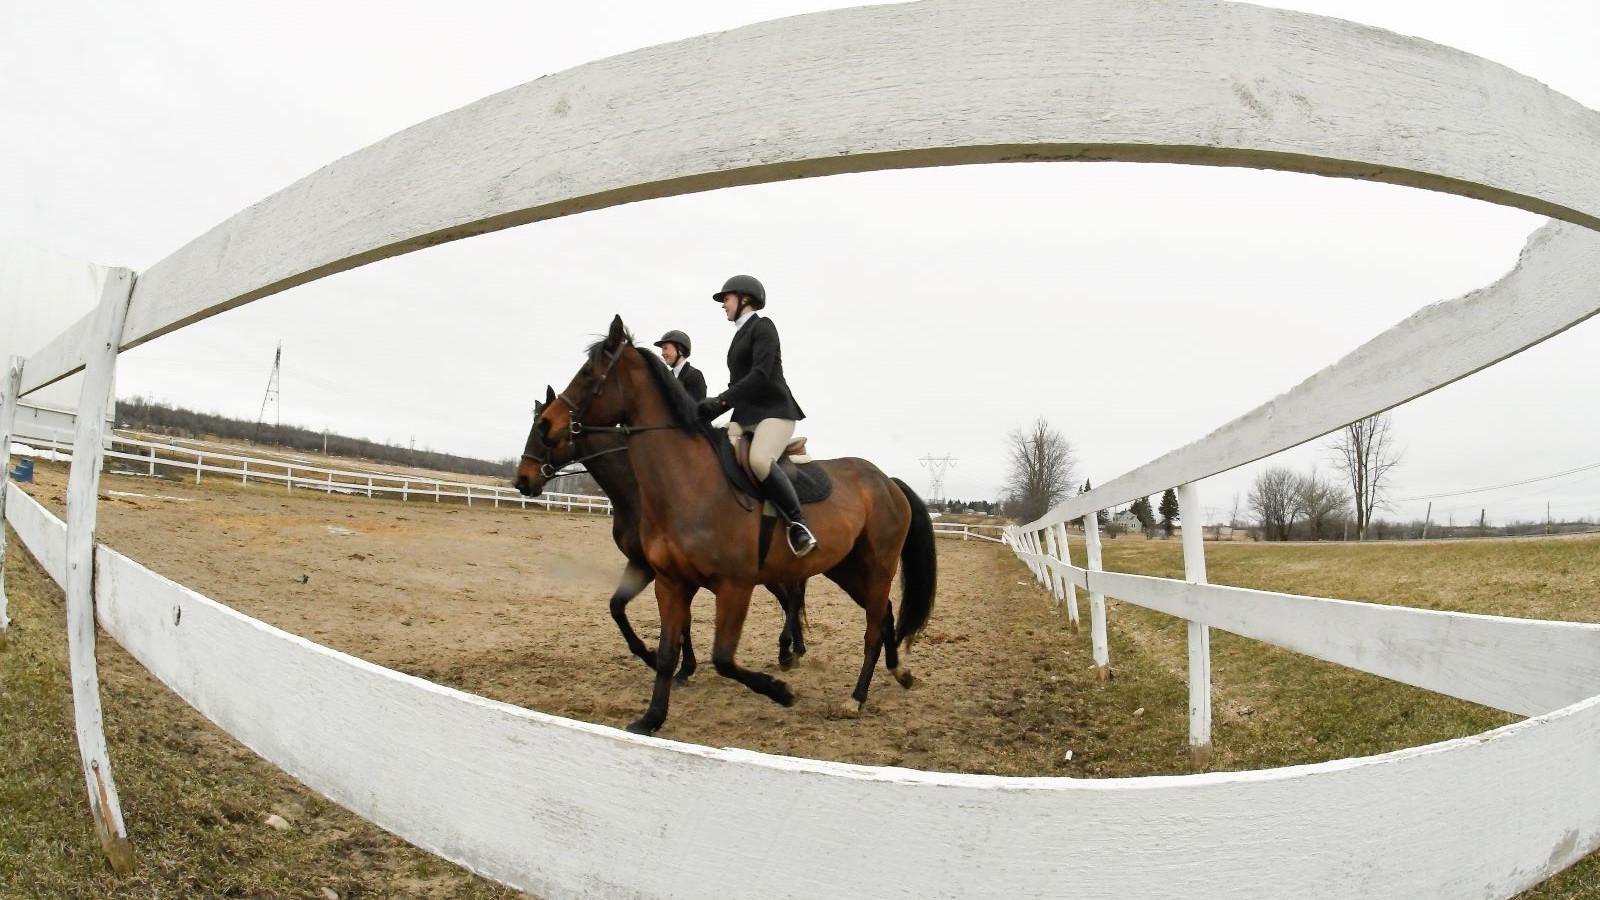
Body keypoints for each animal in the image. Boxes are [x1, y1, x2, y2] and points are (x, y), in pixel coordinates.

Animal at [512, 312, 934, 733]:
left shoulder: (734, 586)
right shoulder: (669, 579)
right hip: (845, 567)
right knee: (880, 614)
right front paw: (652, 716)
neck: (685, 484)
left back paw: (854, 696)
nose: (523, 480)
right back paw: (898, 673)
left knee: (868, 626)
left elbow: (723, 658)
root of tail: (886, 480)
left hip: (875, 567)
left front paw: (779, 691)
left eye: (588, 373)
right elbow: (659, 643)